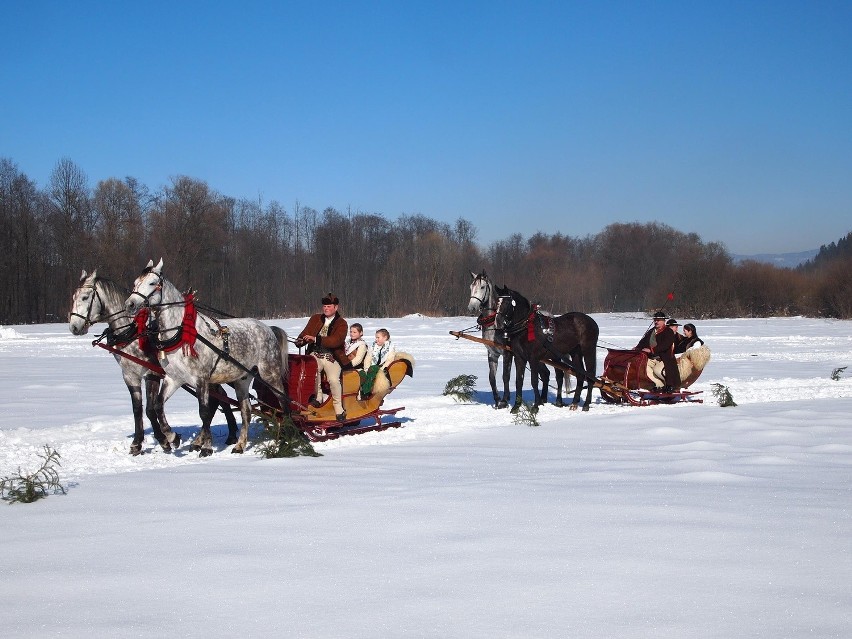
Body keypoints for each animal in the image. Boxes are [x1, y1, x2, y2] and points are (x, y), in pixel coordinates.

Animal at [68, 270, 236, 456]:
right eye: (73, 297)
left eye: (85, 297)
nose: (74, 327)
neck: (133, 332)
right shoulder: (130, 376)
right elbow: (137, 409)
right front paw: (137, 443)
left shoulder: (151, 373)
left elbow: (149, 409)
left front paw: (165, 440)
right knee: (220, 398)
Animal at [124, 258, 290, 458]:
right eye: (135, 283)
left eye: (152, 283)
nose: (130, 304)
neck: (182, 333)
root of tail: (268, 328)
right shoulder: (174, 378)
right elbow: (157, 405)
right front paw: (172, 437)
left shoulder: (201, 379)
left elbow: (204, 412)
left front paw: (207, 447)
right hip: (242, 379)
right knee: (246, 411)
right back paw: (240, 444)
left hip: (270, 374)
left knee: (284, 403)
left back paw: (290, 436)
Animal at [492, 286, 600, 416]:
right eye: (496, 302)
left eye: (507, 302)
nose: (497, 321)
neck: (526, 327)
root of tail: (592, 322)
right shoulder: (519, 357)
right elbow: (519, 381)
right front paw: (516, 407)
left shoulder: (533, 358)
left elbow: (534, 381)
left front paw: (536, 406)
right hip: (575, 353)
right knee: (580, 374)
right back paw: (574, 403)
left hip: (588, 350)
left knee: (590, 375)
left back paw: (586, 404)